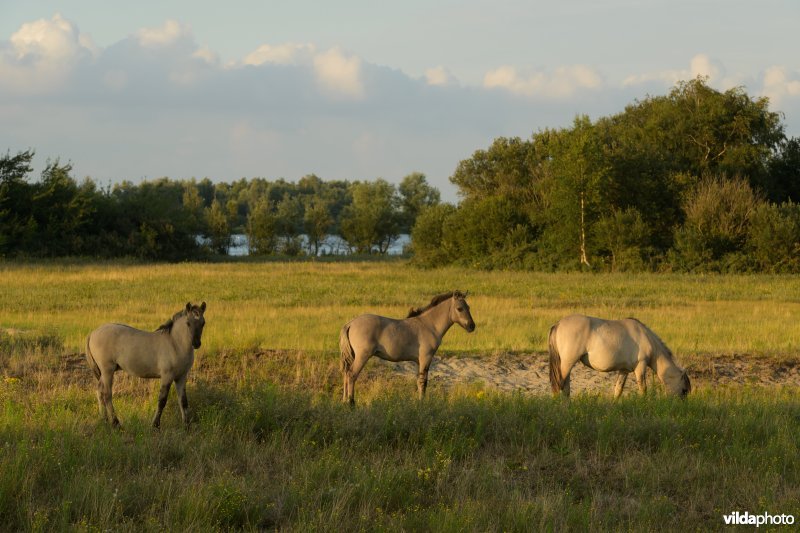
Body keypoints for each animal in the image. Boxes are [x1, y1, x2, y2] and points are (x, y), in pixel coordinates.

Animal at [340, 290, 476, 404]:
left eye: (469, 307)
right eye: (459, 308)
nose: (472, 326)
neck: (429, 325)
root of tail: (350, 323)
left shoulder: (418, 361)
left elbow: (418, 381)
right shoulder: (426, 358)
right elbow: (423, 382)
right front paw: (422, 402)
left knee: (346, 374)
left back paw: (344, 401)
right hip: (362, 356)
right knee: (351, 374)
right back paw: (351, 402)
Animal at [548, 314, 692, 396]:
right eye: (684, 390)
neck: (645, 337)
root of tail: (558, 324)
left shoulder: (624, 370)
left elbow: (618, 390)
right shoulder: (640, 367)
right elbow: (643, 389)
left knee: (565, 387)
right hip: (567, 363)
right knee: (559, 385)